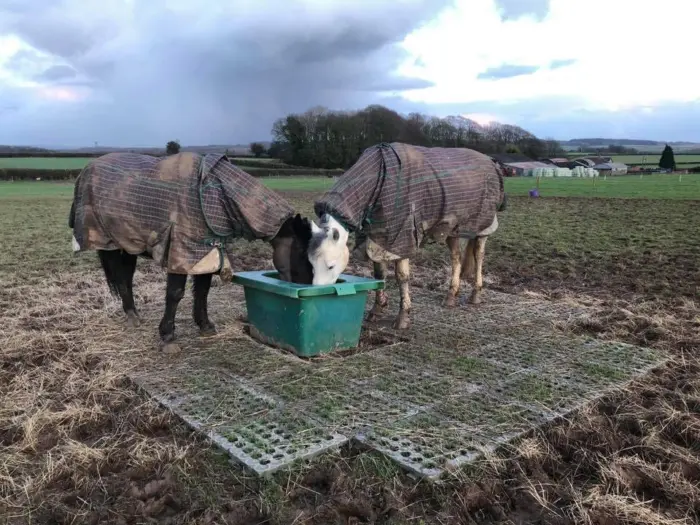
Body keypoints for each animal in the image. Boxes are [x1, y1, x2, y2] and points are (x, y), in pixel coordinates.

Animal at [69, 151, 315, 353]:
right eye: (303, 251)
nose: (307, 285)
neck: (213, 194)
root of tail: (88, 169)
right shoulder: (181, 249)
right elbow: (175, 293)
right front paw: (168, 337)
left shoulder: (207, 250)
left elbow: (203, 290)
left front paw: (205, 325)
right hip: (109, 242)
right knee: (120, 278)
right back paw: (132, 316)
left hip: (128, 243)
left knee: (126, 278)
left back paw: (133, 314)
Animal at [308, 142, 507, 330]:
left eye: (330, 265)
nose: (317, 296)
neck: (378, 181)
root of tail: (491, 162)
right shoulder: (377, 237)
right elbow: (379, 274)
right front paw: (376, 309)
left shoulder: (401, 238)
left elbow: (402, 276)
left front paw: (403, 317)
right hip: (453, 229)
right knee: (456, 258)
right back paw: (451, 296)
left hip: (483, 227)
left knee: (479, 256)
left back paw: (475, 294)